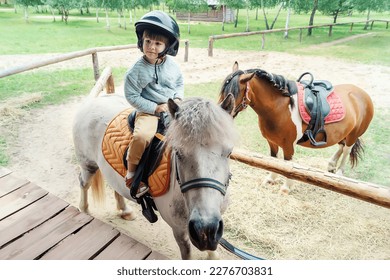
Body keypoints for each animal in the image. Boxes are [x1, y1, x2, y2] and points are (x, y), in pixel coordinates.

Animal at [72, 93, 238, 260]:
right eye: (178, 153)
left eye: (229, 152)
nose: (204, 230)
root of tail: (94, 100)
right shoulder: (179, 231)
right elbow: (187, 253)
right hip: (88, 164)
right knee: (84, 184)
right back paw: (85, 210)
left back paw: (125, 211)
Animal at [219, 62, 374, 194]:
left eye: (233, 93)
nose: (221, 112)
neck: (279, 108)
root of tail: (363, 94)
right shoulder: (272, 142)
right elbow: (274, 161)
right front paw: (271, 179)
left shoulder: (289, 146)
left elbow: (287, 166)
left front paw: (286, 187)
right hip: (343, 133)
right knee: (341, 146)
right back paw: (331, 165)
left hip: (353, 134)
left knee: (347, 150)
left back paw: (340, 174)